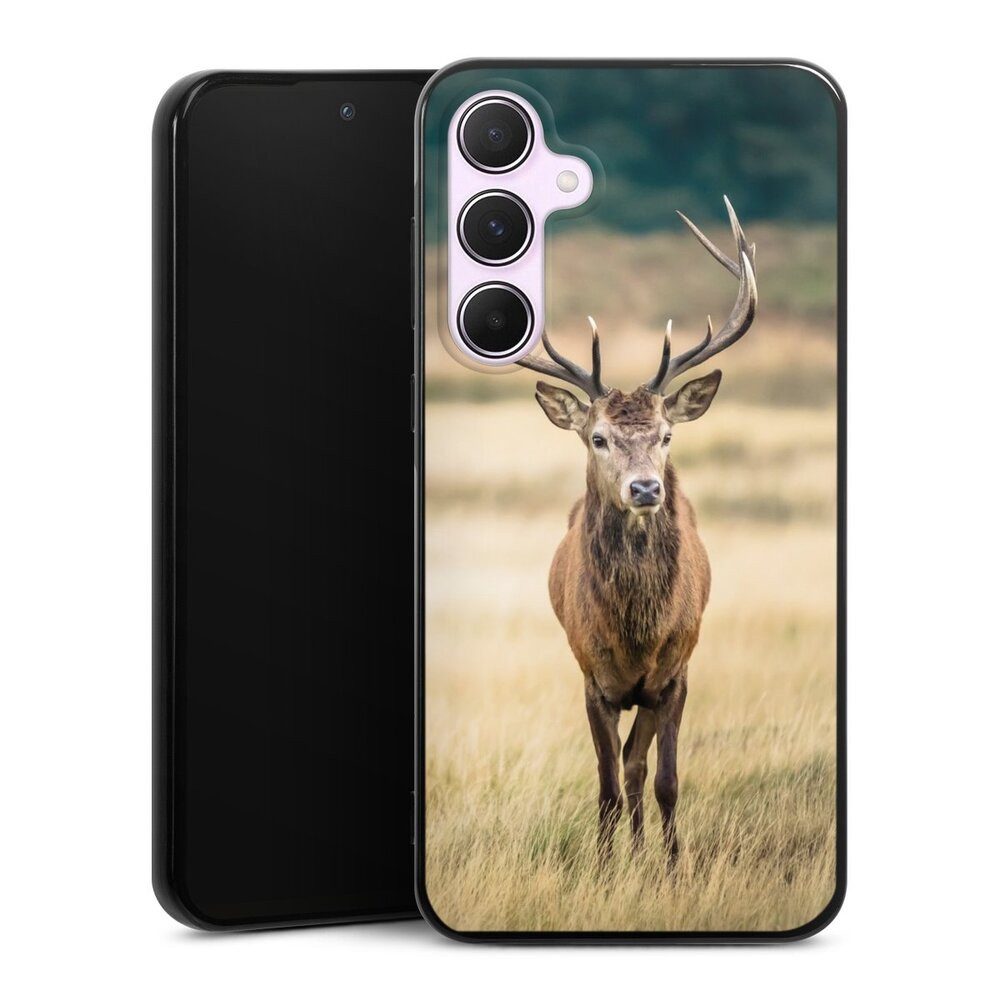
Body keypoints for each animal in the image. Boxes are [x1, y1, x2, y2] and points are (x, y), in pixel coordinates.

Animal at [516, 197, 757, 870]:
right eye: (598, 438)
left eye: (667, 435)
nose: (646, 488)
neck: (635, 634)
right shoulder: (591, 677)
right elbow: (603, 781)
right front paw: (603, 870)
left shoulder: (675, 673)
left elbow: (664, 778)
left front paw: (673, 869)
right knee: (621, 769)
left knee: (637, 766)